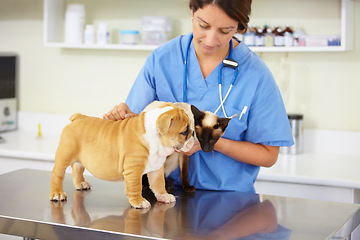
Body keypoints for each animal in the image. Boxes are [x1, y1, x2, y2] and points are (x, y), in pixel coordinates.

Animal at [50, 103, 194, 208]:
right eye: (184, 131)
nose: (193, 134)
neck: (155, 139)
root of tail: (78, 117)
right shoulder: (134, 170)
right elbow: (135, 187)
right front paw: (139, 202)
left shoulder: (156, 168)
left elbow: (159, 184)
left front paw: (164, 196)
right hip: (64, 156)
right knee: (57, 174)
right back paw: (58, 193)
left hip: (80, 159)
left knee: (77, 169)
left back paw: (80, 183)